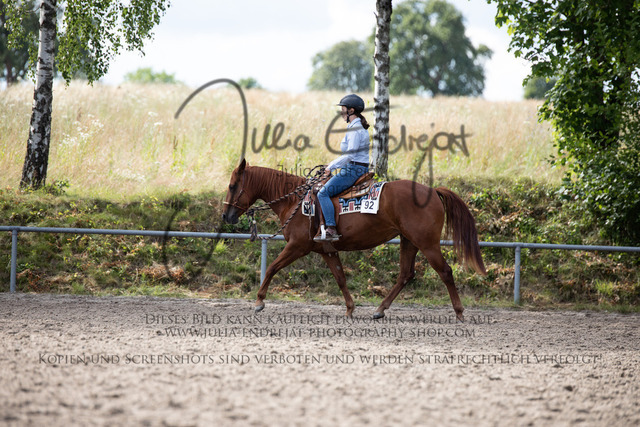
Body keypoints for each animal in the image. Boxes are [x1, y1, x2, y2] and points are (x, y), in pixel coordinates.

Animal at [222, 159, 486, 321]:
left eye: (233, 185)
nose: (226, 215)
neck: (295, 201)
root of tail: (433, 191)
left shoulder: (297, 246)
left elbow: (272, 268)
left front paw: (259, 301)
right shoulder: (327, 250)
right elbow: (340, 278)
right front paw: (350, 309)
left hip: (427, 244)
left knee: (445, 272)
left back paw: (459, 313)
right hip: (409, 241)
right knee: (405, 274)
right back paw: (379, 310)